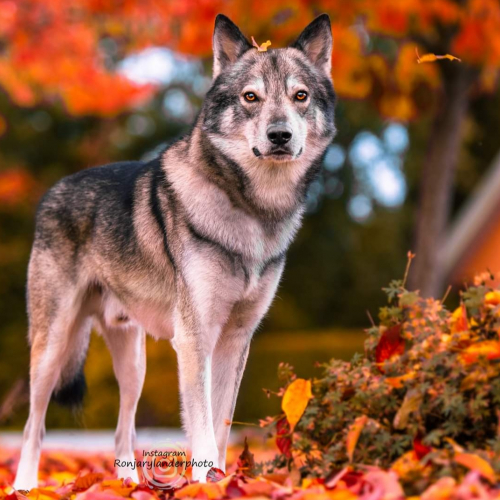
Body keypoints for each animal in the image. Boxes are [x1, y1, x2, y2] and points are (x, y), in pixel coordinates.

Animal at [13, 13, 338, 490]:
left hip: (134, 366)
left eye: (301, 96)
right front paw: (206, 483)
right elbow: (201, 423)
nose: (279, 136)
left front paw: (222, 483)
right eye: (251, 97)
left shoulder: (235, 339)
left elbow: (221, 420)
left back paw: (126, 486)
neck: (253, 211)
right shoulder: (194, 337)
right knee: (33, 424)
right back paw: (23, 486)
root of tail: (53, 191)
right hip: (52, 348)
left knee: (122, 431)